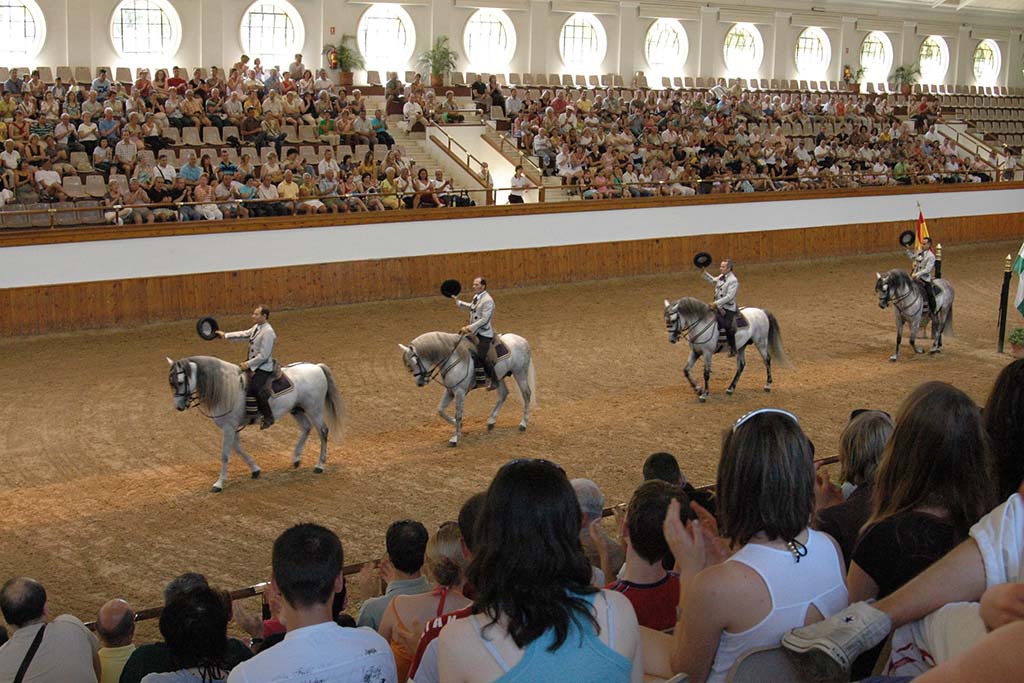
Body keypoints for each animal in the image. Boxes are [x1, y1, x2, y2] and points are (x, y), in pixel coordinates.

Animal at [165, 358, 346, 491]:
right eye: (171, 383)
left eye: (180, 382)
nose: (179, 406)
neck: (227, 390)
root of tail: (316, 367)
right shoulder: (234, 428)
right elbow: (238, 449)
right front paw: (255, 470)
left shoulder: (229, 428)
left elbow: (225, 455)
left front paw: (219, 483)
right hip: (296, 409)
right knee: (306, 428)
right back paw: (296, 458)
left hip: (314, 409)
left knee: (323, 431)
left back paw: (319, 465)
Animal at [397, 331, 536, 448]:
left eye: (414, 363)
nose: (420, 383)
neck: (453, 359)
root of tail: (522, 340)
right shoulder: (450, 391)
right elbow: (440, 410)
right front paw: (457, 425)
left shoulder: (459, 392)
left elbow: (458, 414)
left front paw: (455, 438)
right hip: (500, 377)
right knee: (503, 394)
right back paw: (491, 421)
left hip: (520, 373)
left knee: (526, 394)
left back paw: (523, 424)